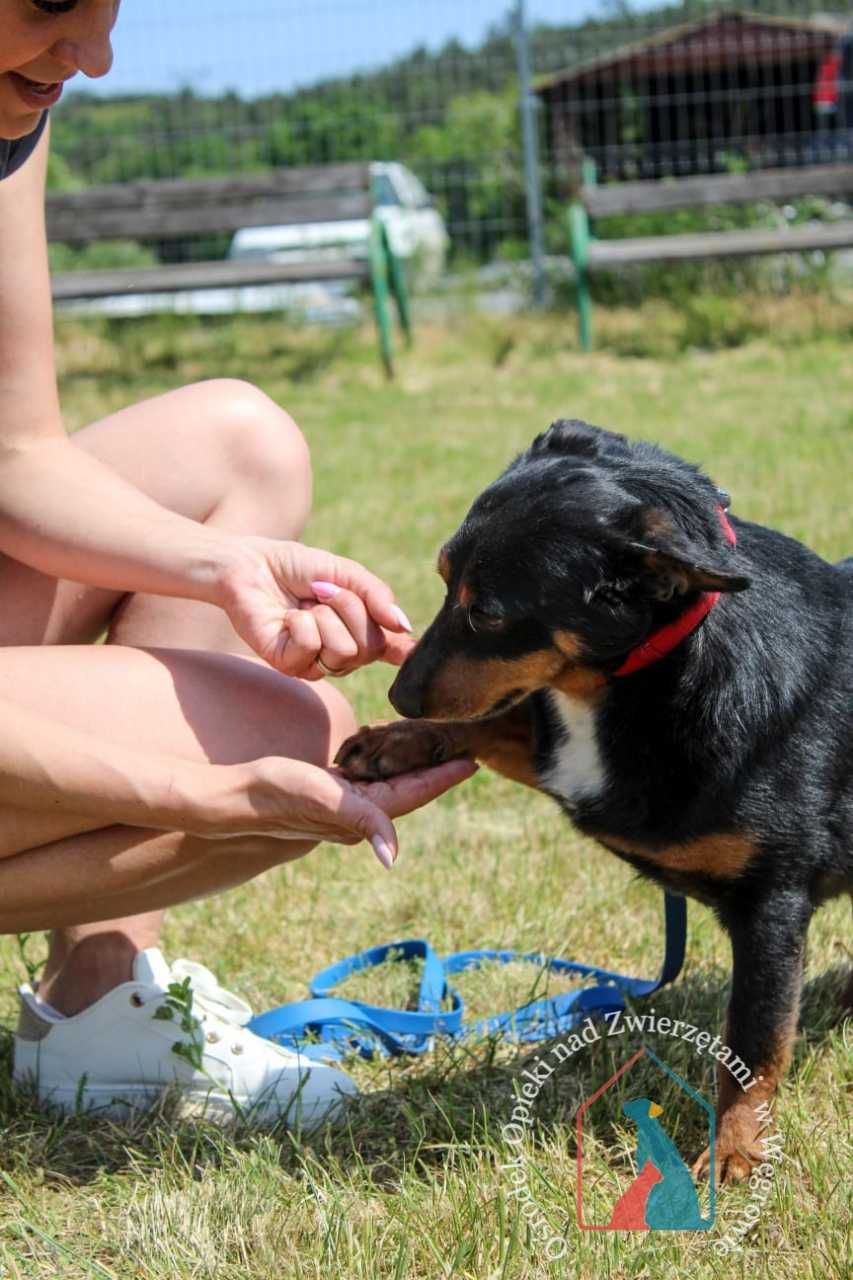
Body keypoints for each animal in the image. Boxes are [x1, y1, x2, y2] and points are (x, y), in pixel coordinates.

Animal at [335, 419, 845, 1177]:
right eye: (443, 579)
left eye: (488, 613)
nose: (399, 695)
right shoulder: (572, 763)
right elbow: (495, 720)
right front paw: (394, 742)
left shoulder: (771, 904)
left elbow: (751, 1046)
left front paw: (732, 1154)